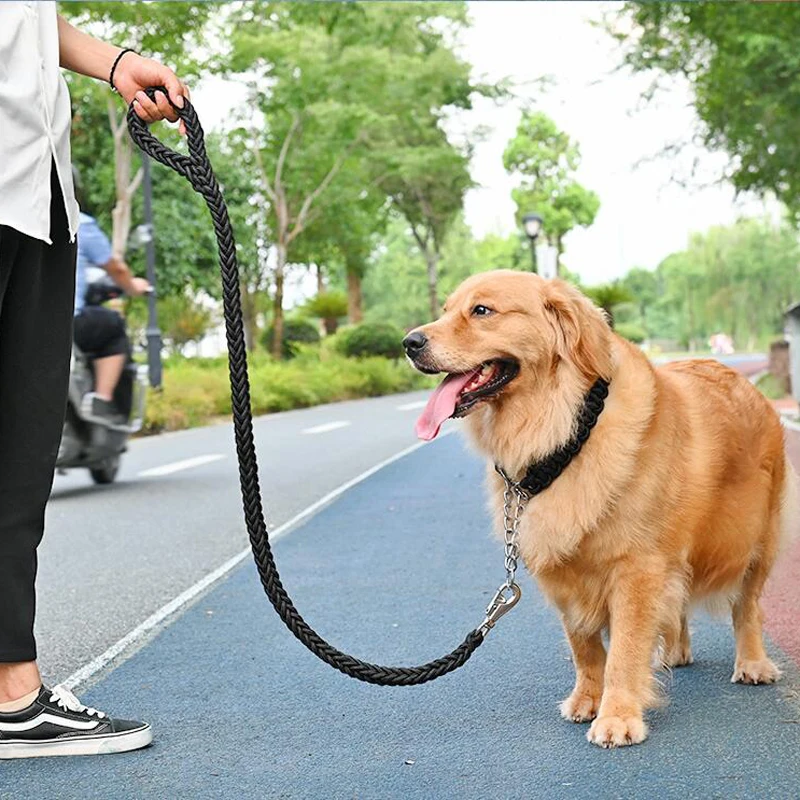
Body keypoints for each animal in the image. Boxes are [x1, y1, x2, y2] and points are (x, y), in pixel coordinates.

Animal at [404, 272, 796, 748]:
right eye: (444, 309)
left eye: (482, 311)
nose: (409, 342)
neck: (566, 431)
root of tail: (747, 383)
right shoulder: (564, 571)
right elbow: (585, 647)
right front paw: (587, 700)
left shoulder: (637, 569)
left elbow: (624, 651)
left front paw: (618, 717)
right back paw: (675, 649)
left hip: (757, 541)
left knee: (747, 607)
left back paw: (753, 663)